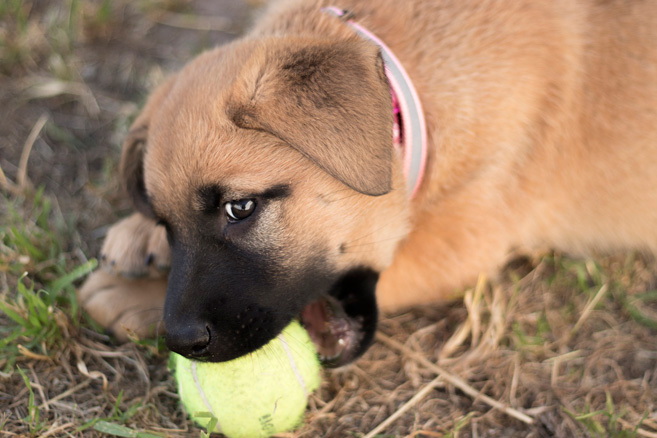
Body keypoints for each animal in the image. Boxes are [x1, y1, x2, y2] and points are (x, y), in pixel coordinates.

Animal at [78, 0, 656, 366]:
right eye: (166, 224)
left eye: (240, 208)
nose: (180, 340)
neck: (408, 102)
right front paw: (137, 237)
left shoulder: (465, 239)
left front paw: (135, 294)